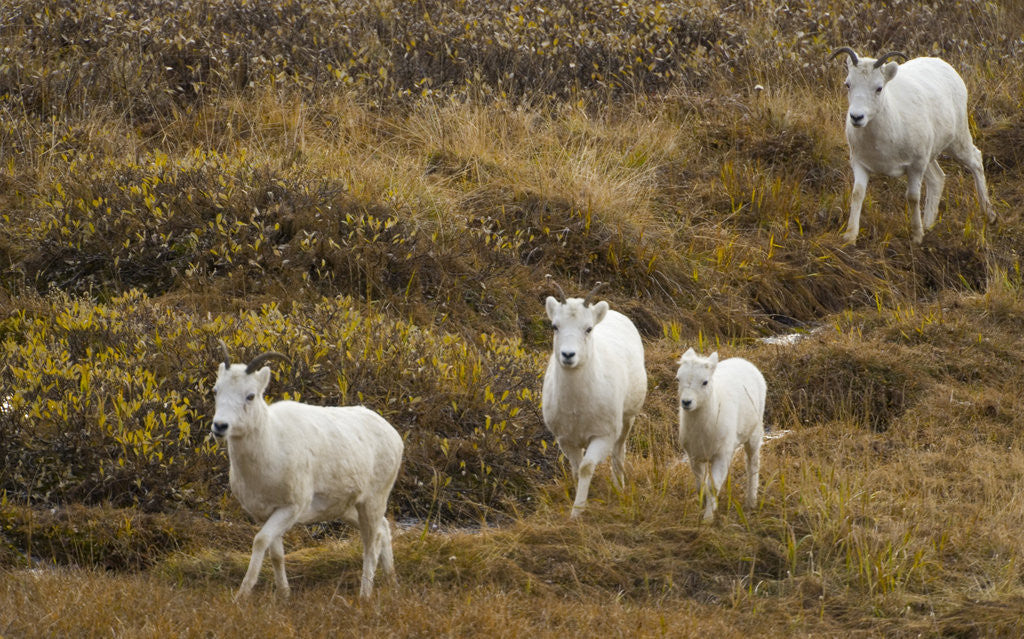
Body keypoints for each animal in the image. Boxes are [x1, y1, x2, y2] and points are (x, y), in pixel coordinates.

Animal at [210, 342, 404, 600]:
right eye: (216, 390)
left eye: (250, 395)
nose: (220, 426)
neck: (270, 446)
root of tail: (394, 435)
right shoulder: (267, 513)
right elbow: (276, 554)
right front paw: (284, 595)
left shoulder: (291, 508)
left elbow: (260, 541)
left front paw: (242, 595)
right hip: (349, 508)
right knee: (384, 529)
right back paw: (392, 583)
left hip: (373, 501)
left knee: (371, 546)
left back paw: (364, 596)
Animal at [541, 278, 647, 519]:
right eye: (555, 326)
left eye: (588, 328)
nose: (568, 355)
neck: (577, 406)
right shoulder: (566, 440)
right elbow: (575, 469)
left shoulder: (603, 436)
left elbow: (586, 467)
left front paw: (577, 512)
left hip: (627, 420)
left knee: (618, 453)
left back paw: (619, 488)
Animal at [675, 348, 766, 522]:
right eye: (678, 379)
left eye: (705, 382)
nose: (686, 402)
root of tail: (742, 361)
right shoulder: (694, 456)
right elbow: (700, 485)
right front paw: (704, 506)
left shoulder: (721, 455)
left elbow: (713, 486)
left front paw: (708, 518)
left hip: (754, 431)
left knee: (752, 464)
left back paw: (751, 501)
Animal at [829, 47, 994, 244]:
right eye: (848, 84)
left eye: (879, 88)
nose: (856, 117)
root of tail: (947, 67)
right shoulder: (860, 164)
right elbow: (857, 194)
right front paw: (850, 237)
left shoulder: (916, 166)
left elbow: (913, 197)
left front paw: (917, 236)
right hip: (930, 157)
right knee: (937, 178)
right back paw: (929, 225)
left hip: (957, 142)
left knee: (975, 160)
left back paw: (989, 215)